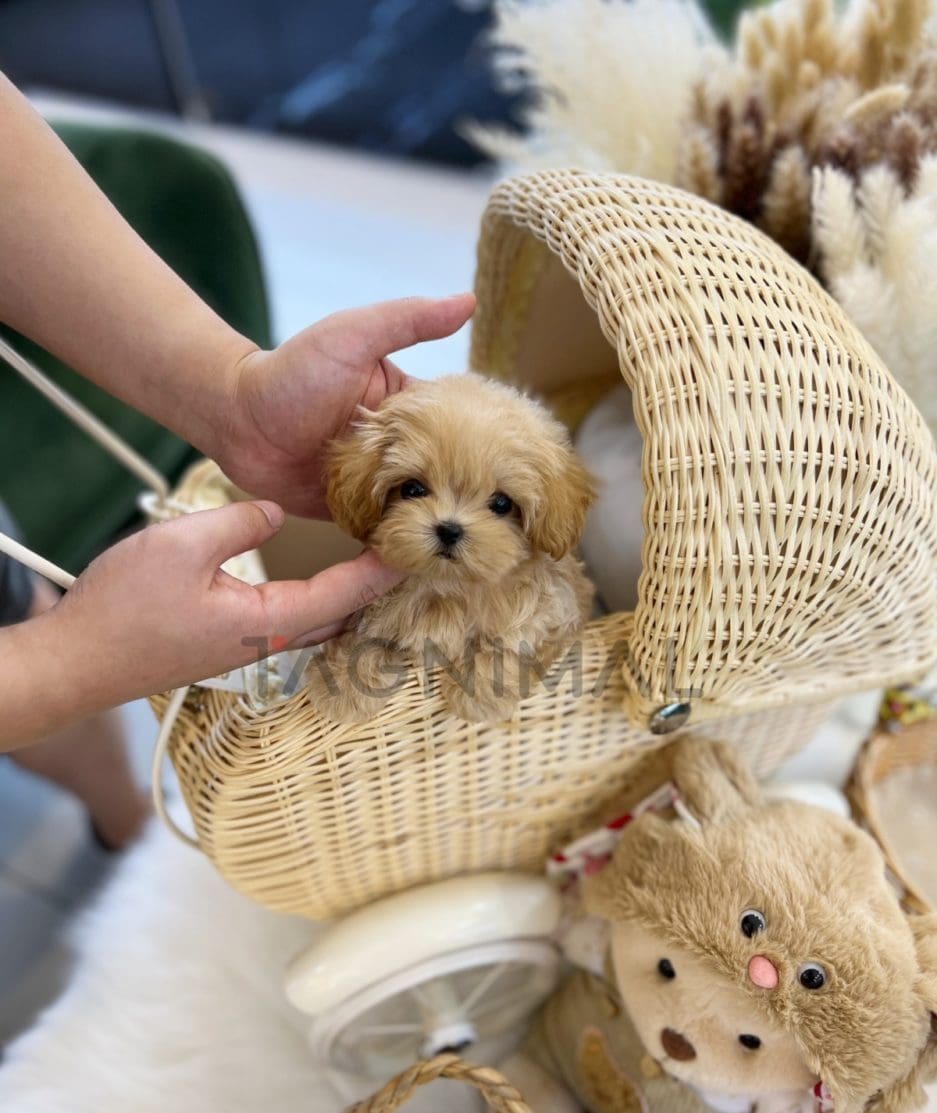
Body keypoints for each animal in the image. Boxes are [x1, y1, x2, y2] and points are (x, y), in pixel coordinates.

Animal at [309, 371, 600, 721]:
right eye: (412, 489)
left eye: (502, 503)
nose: (449, 530)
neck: (449, 587)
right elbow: (366, 638)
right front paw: (343, 684)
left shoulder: (554, 613)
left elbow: (514, 642)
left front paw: (482, 692)